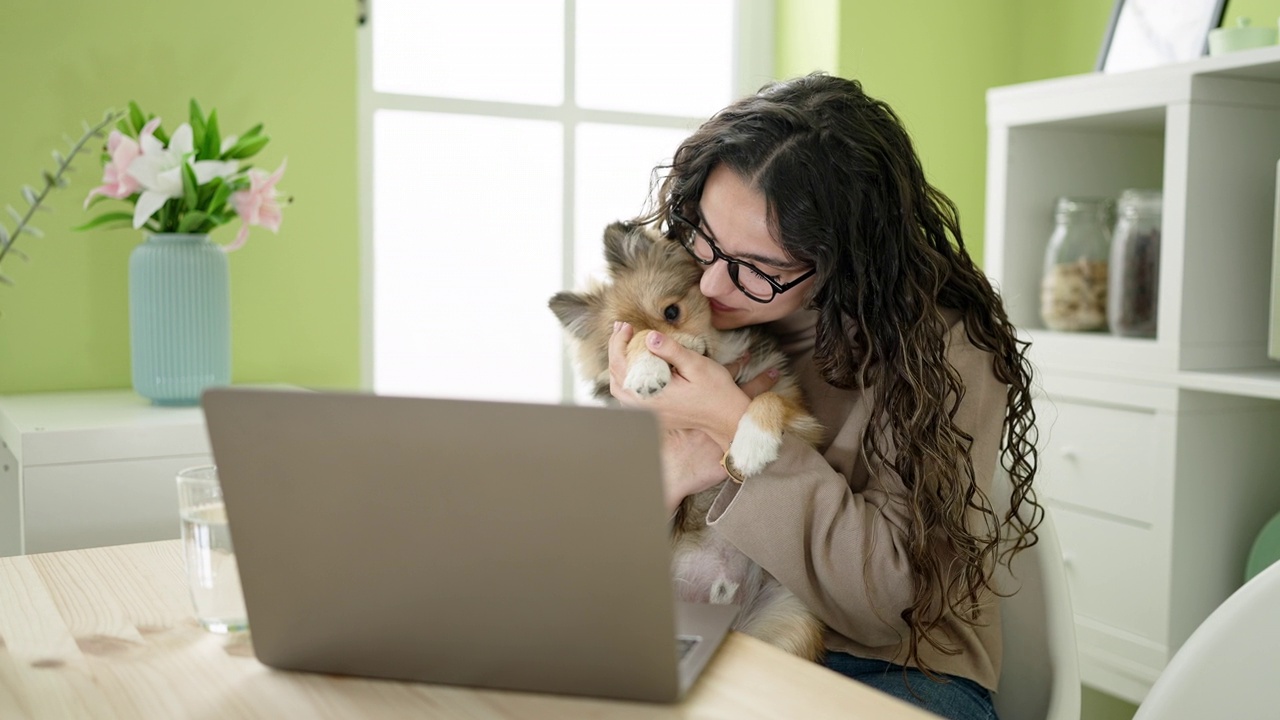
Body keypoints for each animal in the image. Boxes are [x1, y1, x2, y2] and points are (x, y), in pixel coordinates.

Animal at [550, 220, 829, 661]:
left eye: (672, 312)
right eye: (631, 337)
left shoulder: (805, 421)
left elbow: (765, 399)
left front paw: (752, 445)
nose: (670, 356)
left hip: (792, 617)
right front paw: (645, 370)